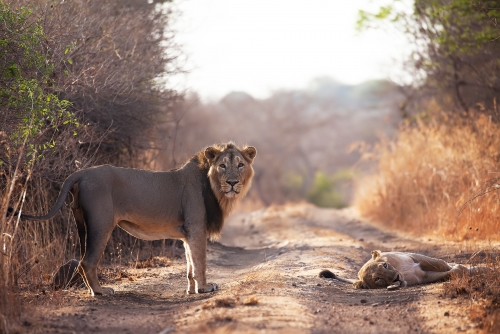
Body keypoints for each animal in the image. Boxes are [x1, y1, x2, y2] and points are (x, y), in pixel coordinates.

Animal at [16, 142, 258, 296]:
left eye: (240, 165)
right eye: (223, 166)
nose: (233, 183)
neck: (214, 187)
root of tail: (82, 172)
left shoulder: (187, 233)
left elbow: (190, 264)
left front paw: (191, 290)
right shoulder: (196, 227)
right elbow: (200, 262)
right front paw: (204, 288)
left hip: (81, 224)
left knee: (82, 260)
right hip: (101, 224)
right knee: (87, 262)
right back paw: (100, 292)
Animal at [318, 250, 478, 290]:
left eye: (385, 265)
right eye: (378, 279)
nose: (396, 278)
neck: (402, 272)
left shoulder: (413, 257)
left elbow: (440, 264)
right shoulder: (424, 276)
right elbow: (451, 272)